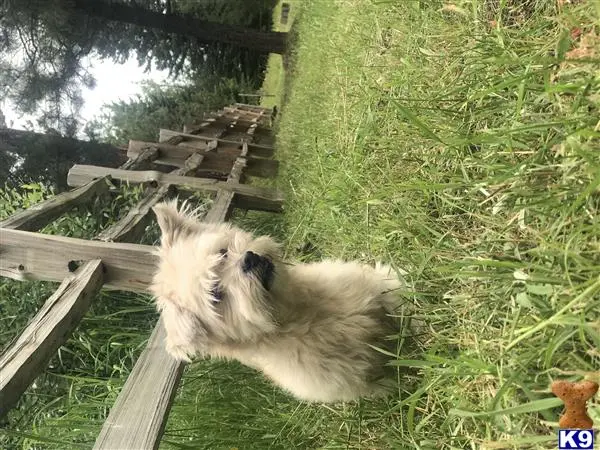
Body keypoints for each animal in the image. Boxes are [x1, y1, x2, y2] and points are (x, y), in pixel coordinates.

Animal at [151, 202, 412, 402]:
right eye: (216, 295)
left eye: (222, 253)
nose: (248, 259)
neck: (301, 312)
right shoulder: (353, 381)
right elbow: (388, 382)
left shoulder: (373, 286)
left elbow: (394, 292)